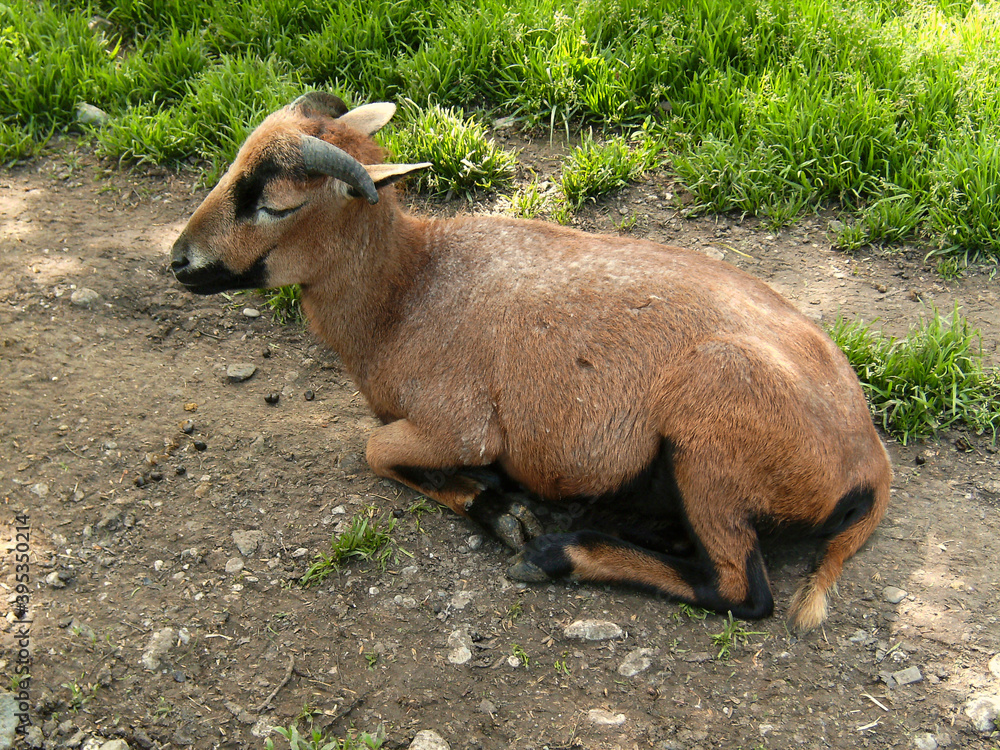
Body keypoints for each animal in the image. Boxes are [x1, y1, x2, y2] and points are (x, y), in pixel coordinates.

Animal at [170, 92, 891, 631]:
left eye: (277, 202)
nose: (178, 260)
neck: (408, 293)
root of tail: (871, 465)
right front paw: (496, 499)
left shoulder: (459, 424)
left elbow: (376, 451)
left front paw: (502, 514)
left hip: (712, 437)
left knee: (742, 590)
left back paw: (556, 553)